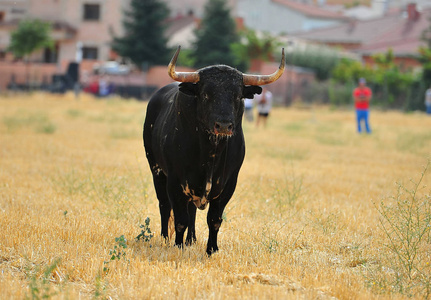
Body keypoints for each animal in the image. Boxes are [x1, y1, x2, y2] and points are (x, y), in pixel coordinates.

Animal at [145, 47, 286, 255]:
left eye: (238, 95)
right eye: (206, 94)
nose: (224, 125)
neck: (211, 151)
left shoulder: (228, 184)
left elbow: (214, 219)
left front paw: (212, 249)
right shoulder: (175, 181)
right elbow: (179, 219)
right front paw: (178, 246)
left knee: (192, 210)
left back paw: (192, 240)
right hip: (156, 170)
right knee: (164, 205)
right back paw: (165, 238)